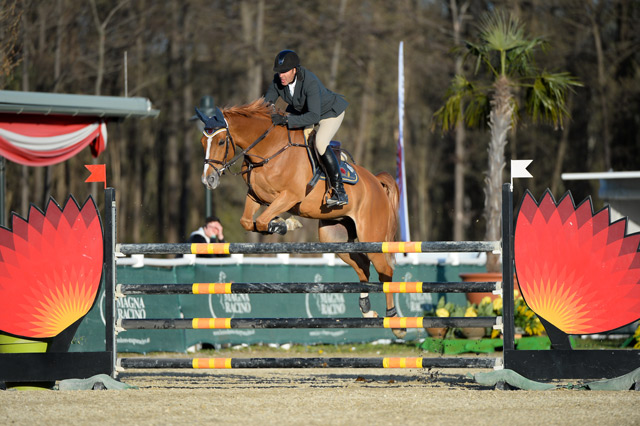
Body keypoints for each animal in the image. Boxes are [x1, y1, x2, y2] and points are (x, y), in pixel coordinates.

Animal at [195, 98, 404, 338]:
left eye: (221, 141)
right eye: (203, 141)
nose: (208, 180)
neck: (268, 150)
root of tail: (376, 182)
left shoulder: (290, 196)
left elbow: (262, 220)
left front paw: (285, 224)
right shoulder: (255, 196)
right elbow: (249, 221)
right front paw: (281, 223)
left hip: (372, 237)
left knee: (385, 271)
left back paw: (396, 323)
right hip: (336, 238)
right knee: (363, 267)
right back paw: (367, 311)